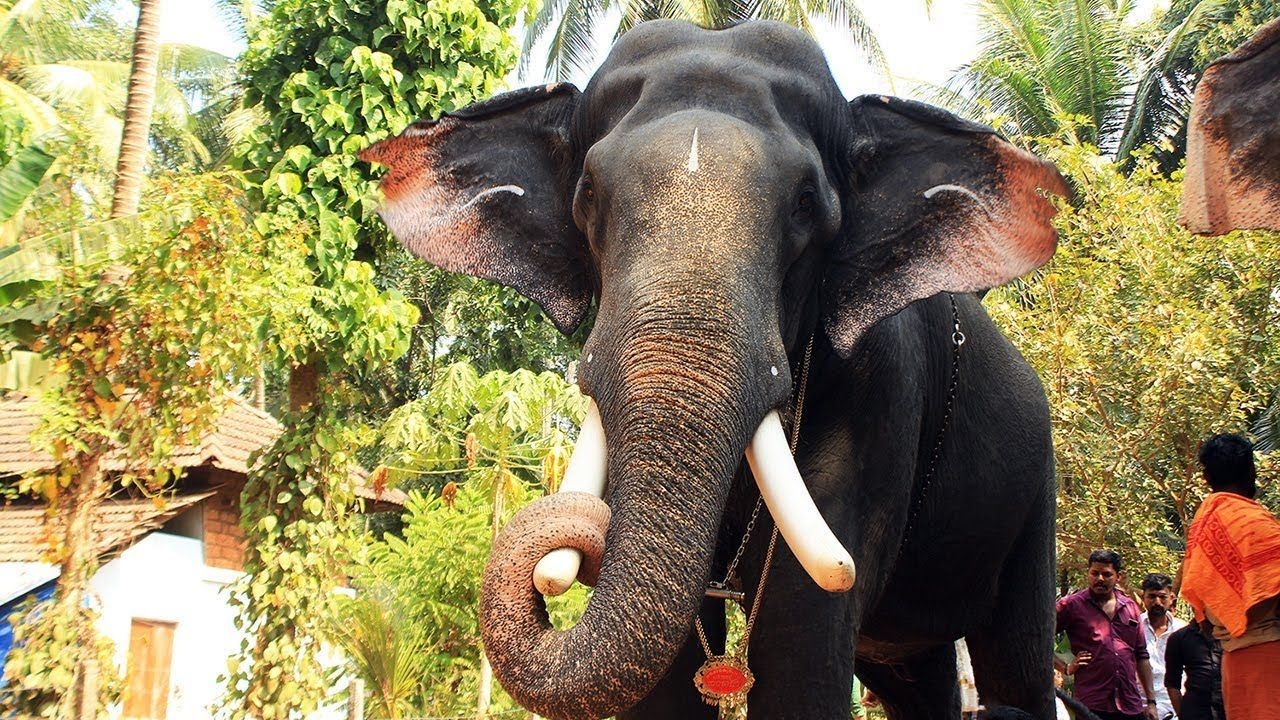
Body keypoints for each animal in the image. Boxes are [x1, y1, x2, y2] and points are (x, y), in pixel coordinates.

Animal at [363, 16, 1070, 717]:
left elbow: (799, 632)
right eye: (588, 194)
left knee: (1019, 665)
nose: (576, 539)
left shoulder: (880, 396)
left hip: (1037, 489)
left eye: (806, 203)